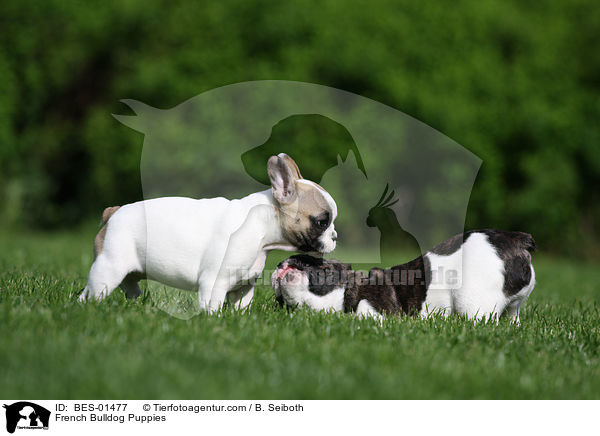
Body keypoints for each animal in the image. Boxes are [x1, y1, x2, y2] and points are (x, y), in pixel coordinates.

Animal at [79, 153, 338, 310]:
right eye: (322, 222)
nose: (335, 236)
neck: (263, 229)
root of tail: (114, 212)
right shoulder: (215, 282)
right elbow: (212, 309)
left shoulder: (244, 287)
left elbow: (241, 308)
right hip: (108, 269)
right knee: (90, 294)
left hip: (127, 274)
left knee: (130, 288)